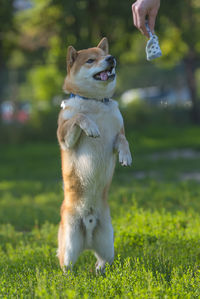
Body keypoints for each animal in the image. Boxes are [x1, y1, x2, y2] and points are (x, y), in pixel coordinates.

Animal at [56, 38, 132, 274]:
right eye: (91, 60)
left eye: (104, 55)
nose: (111, 58)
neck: (96, 102)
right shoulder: (64, 138)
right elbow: (79, 116)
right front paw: (91, 127)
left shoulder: (117, 134)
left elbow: (123, 140)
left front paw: (126, 156)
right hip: (70, 244)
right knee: (66, 266)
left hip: (107, 242)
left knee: (103, 261)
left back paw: (99, 271)